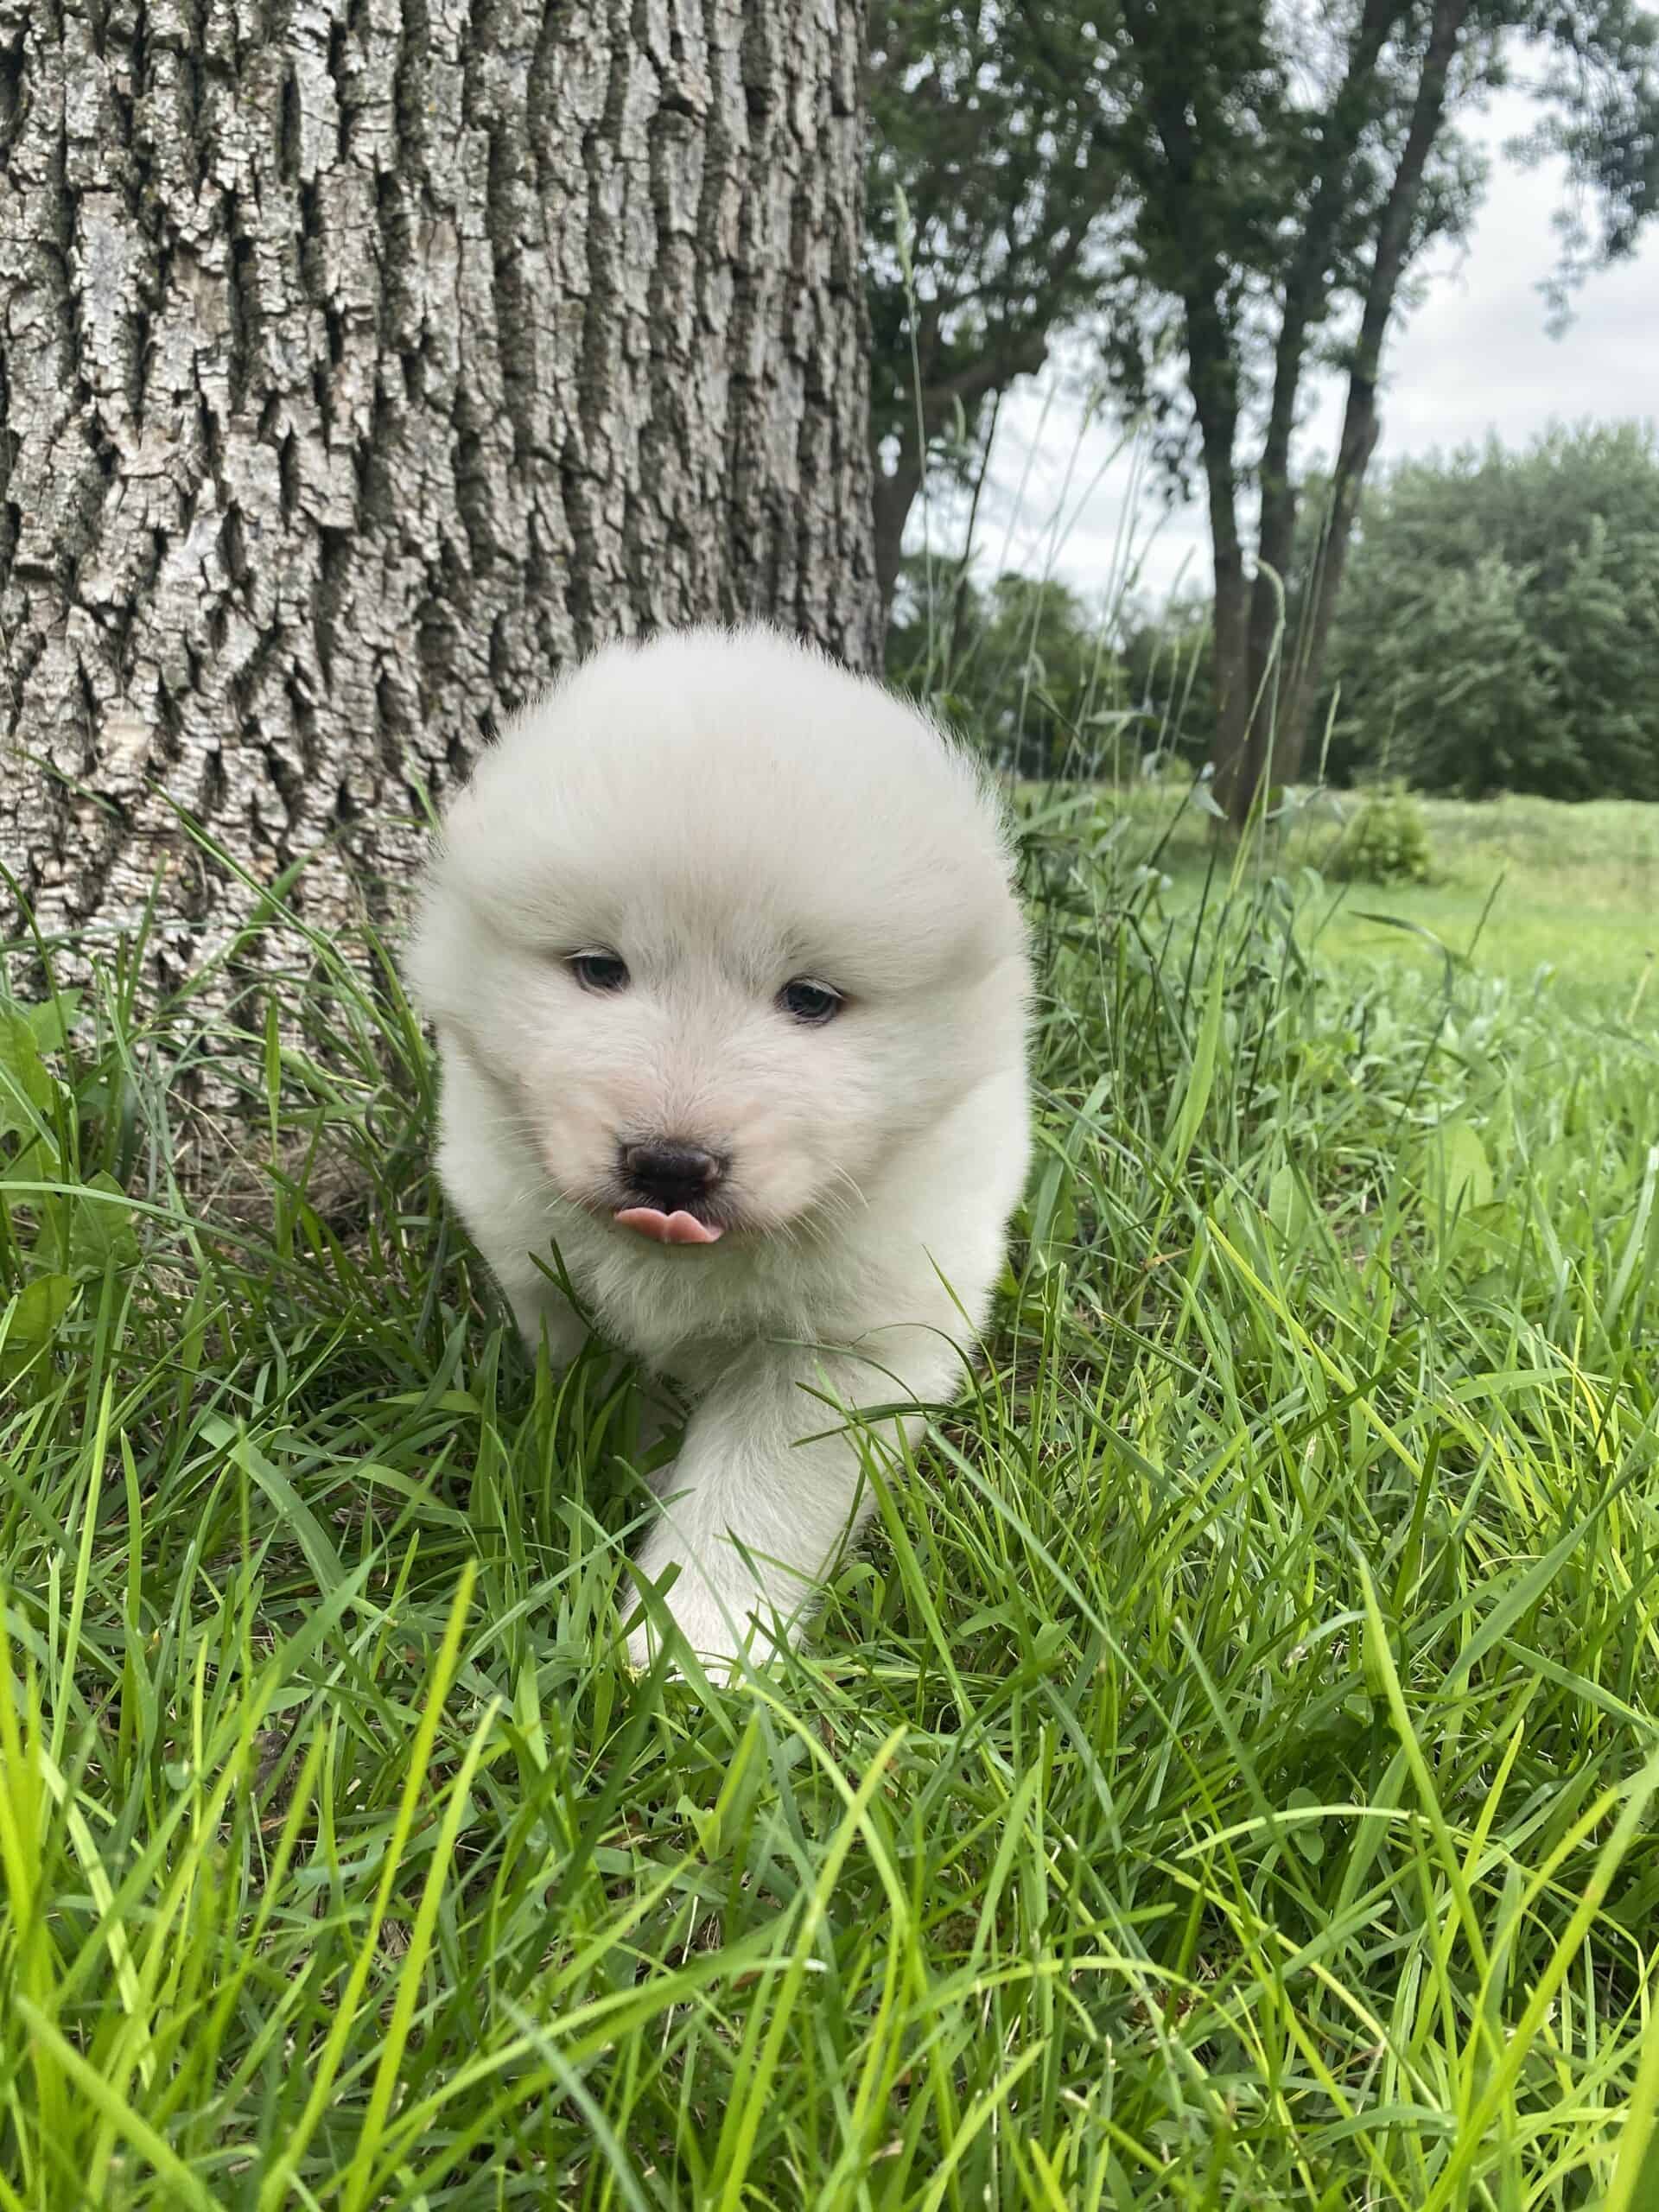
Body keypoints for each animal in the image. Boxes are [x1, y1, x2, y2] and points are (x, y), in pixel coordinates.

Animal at [409, 632, 1035, 1663]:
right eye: (599, 970)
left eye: (810, 999)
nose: (670, 1166)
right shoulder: (552, 1286)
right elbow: (630, 1408)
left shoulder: (845, 1350)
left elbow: (753, 1503)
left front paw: (687, 1652)